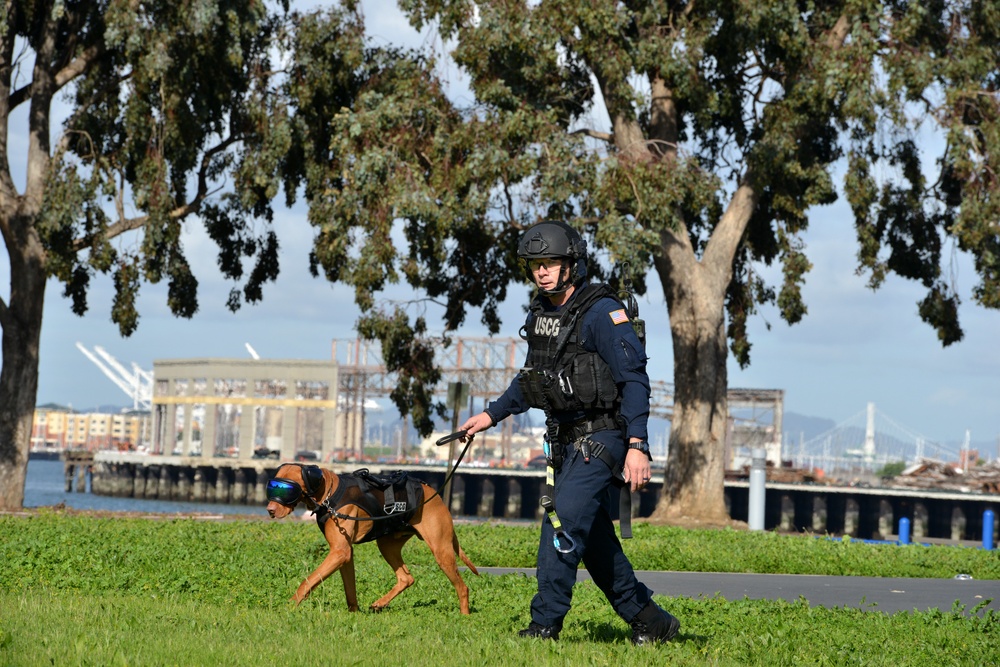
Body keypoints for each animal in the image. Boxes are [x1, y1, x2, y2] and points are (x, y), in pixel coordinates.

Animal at [266, 464, 476, 616]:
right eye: (273, 487)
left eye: (288, 489)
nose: (269, 510)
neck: (328, 493)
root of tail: (437, 496)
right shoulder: (344, 553)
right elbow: (350, 588)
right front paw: (354, 613)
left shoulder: (339, 552)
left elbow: (308, 581)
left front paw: (289, 606)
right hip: (387, 545)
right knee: (406, 578)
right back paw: (380, 603)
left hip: (441, 551)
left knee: (463, 587)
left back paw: (464, 617)